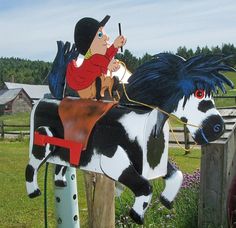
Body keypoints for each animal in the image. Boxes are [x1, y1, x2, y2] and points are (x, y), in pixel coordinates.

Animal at [25, 53, 234, 224]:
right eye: (199, 93)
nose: (218, 127)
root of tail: (41, 101)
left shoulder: (151, 162)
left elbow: (177, 175)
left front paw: (166, 201)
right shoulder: (113, 162)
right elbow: (145, 187)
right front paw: (136, 215)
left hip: (66, 151)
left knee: (61, 164)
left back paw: (61, 182)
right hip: (43, 141)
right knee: (31, 167)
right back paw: (34, 191)